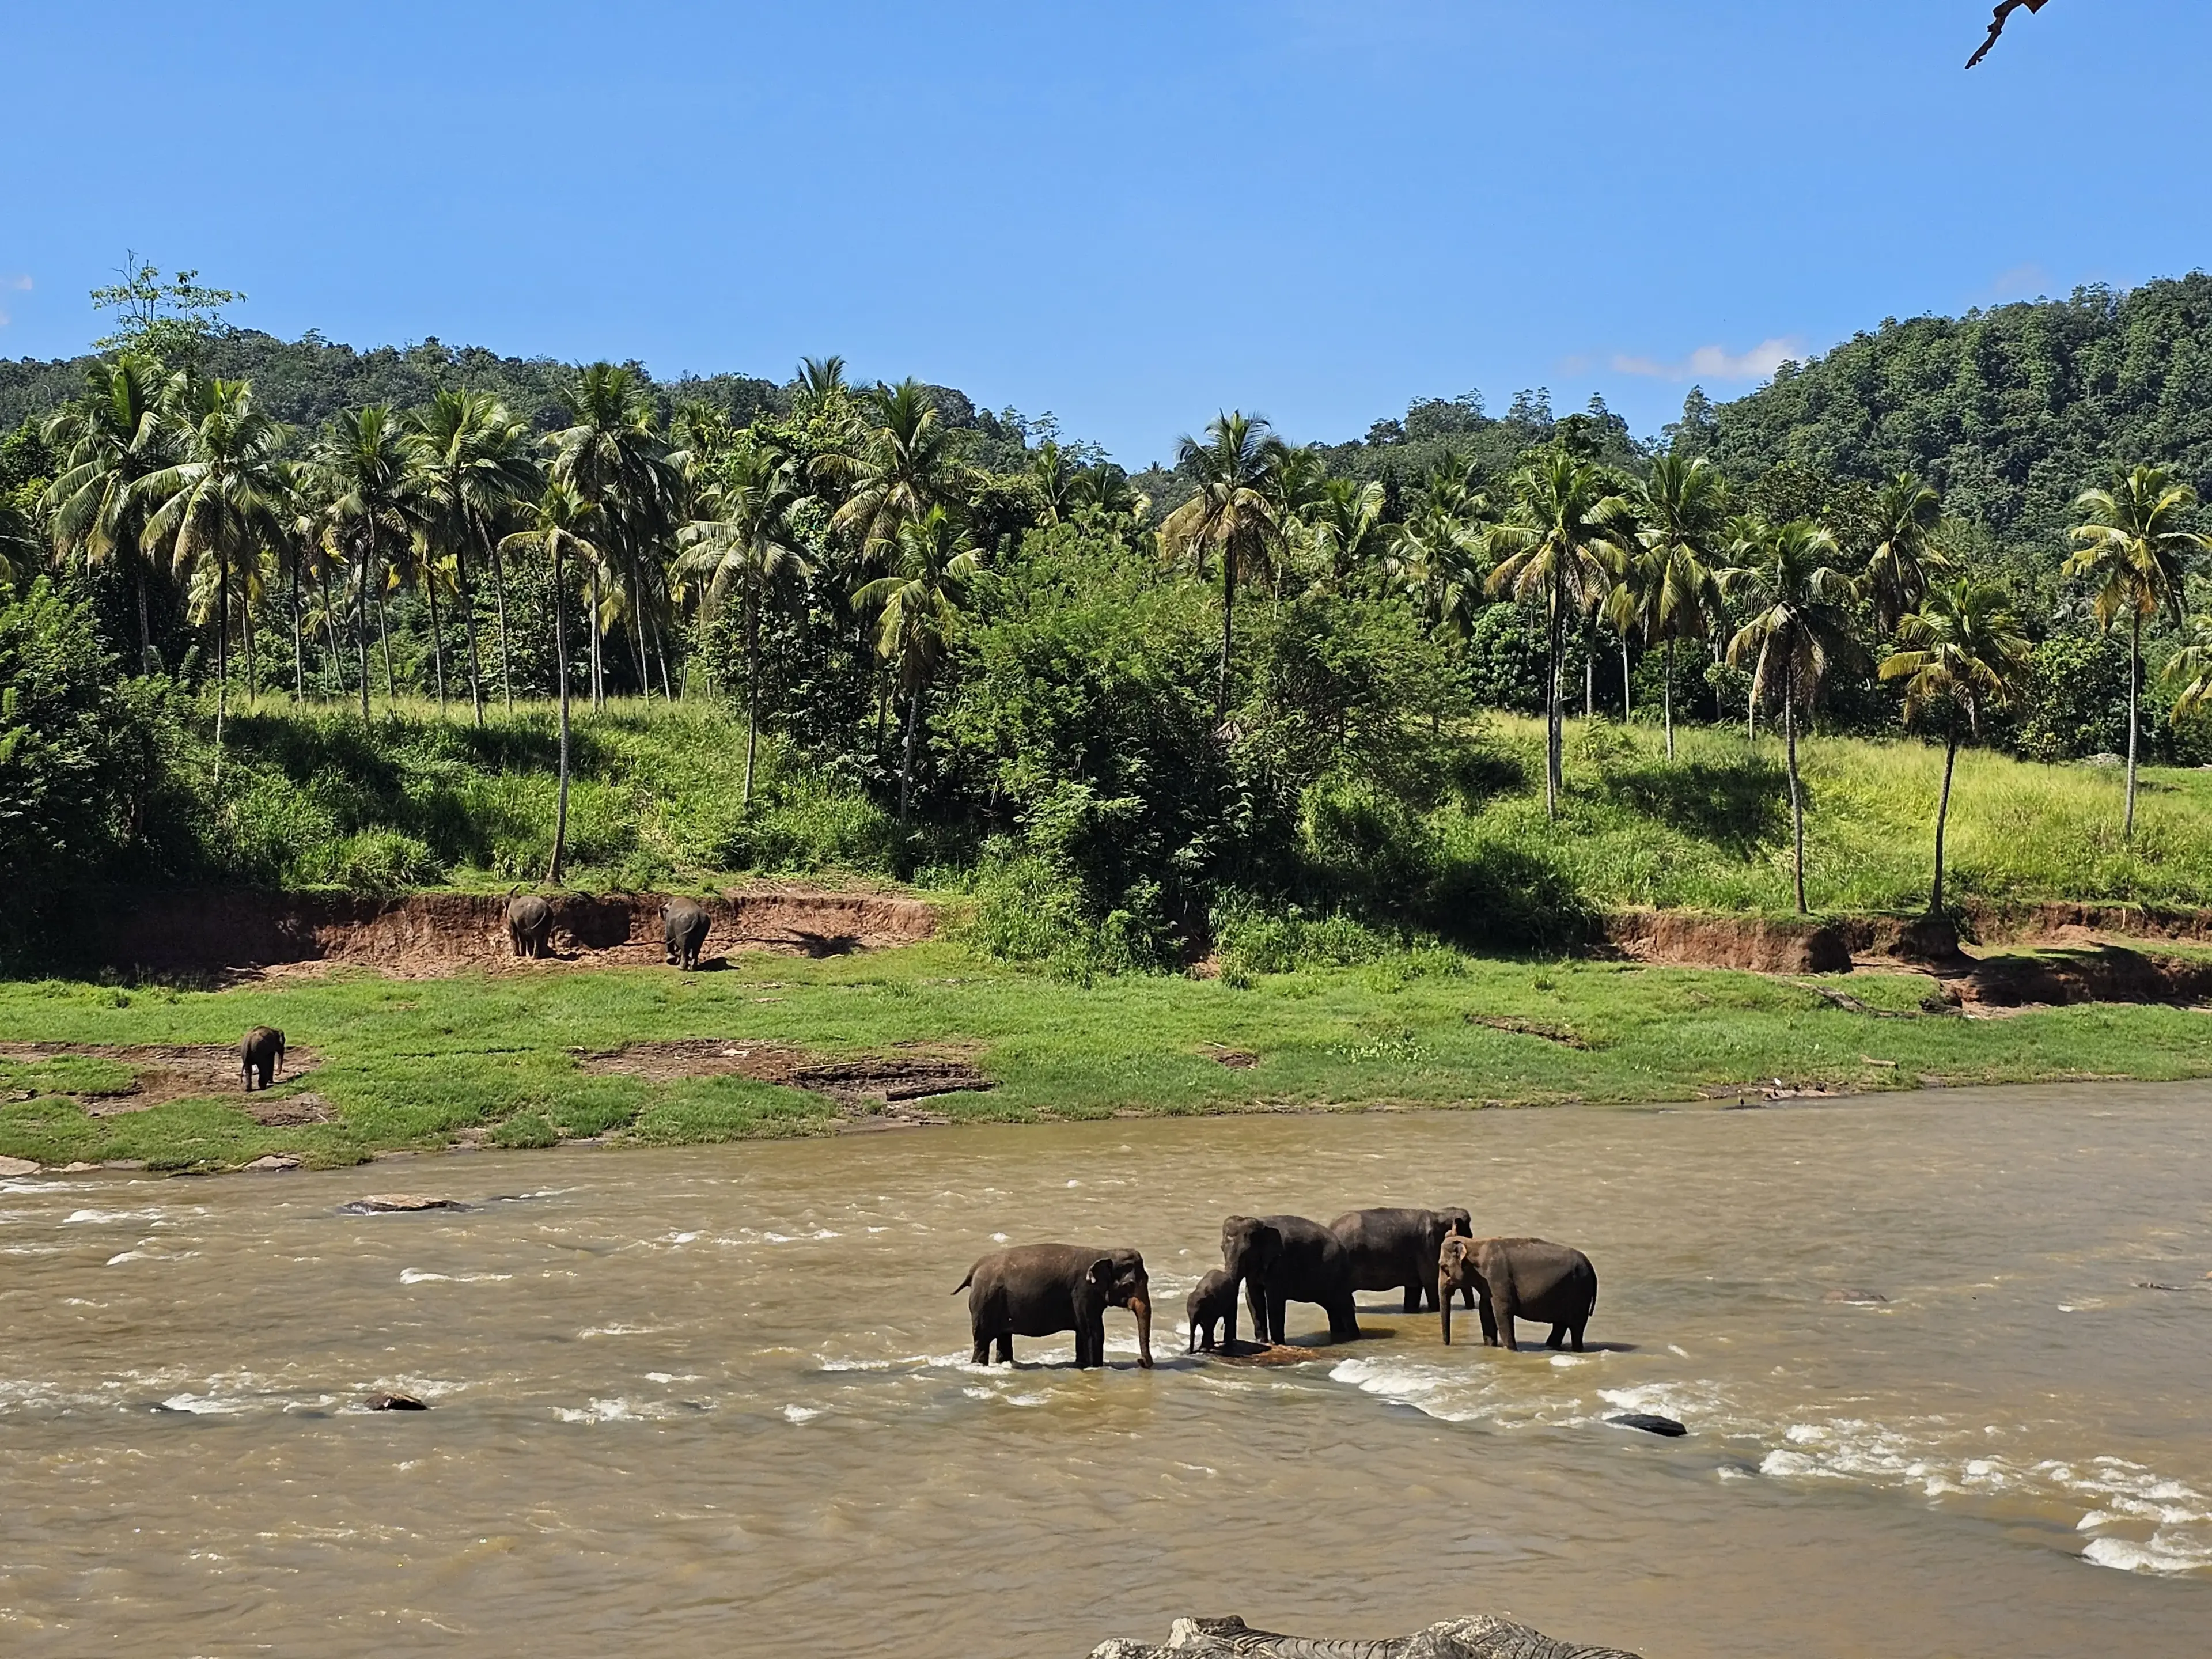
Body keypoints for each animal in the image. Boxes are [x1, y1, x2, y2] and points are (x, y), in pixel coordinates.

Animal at [954, 1243, 1155, 1369]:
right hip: (984, 1302)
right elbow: (1095, 1332)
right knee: (982, 1341)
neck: (1104, 1253)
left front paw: (1082, 1365)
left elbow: (1083, 1334)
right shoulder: (1083, 1292)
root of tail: (974, 1269)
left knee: (1003, 1338)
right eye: (1130, 1284)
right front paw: (1096, 1367)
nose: (1140, 1361)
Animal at [1185, 1267, 1239, 1353]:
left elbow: (1208, 1324)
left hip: (1232, 1300)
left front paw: (1204, 1349)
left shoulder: (1212, 1307)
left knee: (1228, 1318)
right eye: (1187, 1312)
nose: (1190, 1352)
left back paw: (1228, 1346)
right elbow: (1205, 1326)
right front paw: (1205, 1347)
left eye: (1198, 1312)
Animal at [1221, 1214, 1361, 1347]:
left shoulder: (1280, 1263)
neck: (1262, 1225)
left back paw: (1354, 1337)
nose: (1232, 1340)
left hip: (1338, 1274)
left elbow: (1274, 1300)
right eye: (1222, 1248)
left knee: (1344, 1304)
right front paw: (1262, 1342)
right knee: (1332, 1307)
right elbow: (1253, 1296)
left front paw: (1276, 1344)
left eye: (1246, 1253)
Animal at [1329, 1206, 1476, 1313]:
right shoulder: (1428, 1249)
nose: (1470, 1309)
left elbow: (1414, 1290)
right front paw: (1435, 1310)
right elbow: (1431, 1284)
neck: (1439, 1214)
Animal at [1438, 1235, 1598, 1352]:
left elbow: (1502, 1312)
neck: (1475, 1243)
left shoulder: (1498, 1278)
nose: (1447, 1345)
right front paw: (1491, 1346)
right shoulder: (1487, 1284)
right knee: (1560, 1324)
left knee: (1576, 1327)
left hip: (1580, 1292)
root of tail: (1591, 1266)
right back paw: (1550, 1347)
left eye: (1443, 1267)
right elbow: (1486, 1311)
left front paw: (1511, 1349)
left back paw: (1576, 1350)